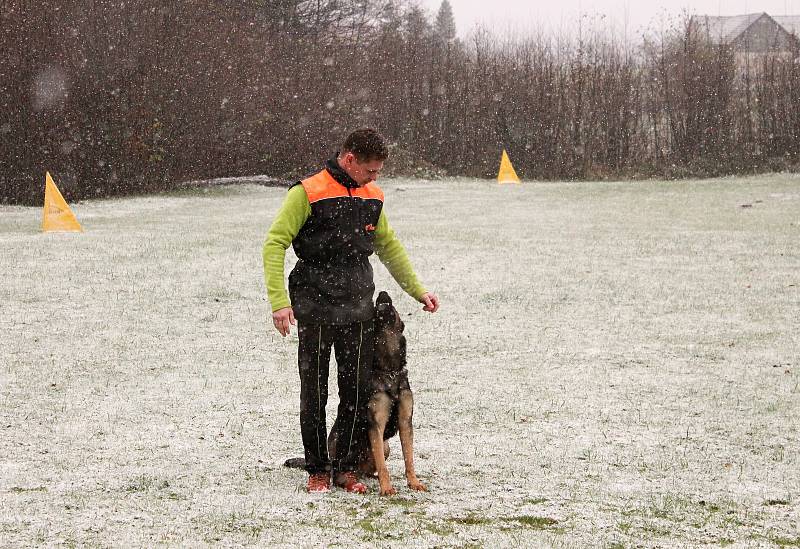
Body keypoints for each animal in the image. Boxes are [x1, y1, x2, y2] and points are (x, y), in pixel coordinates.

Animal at [286, 288, 428, 494]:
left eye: (392, 306)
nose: (383, 291)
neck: (389, 370)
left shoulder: (405, 422)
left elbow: (409, 458)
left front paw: (414, 482)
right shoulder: (376, 426)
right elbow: (383, 466)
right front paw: (387, 488)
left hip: (386, 446)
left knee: (368, 469)